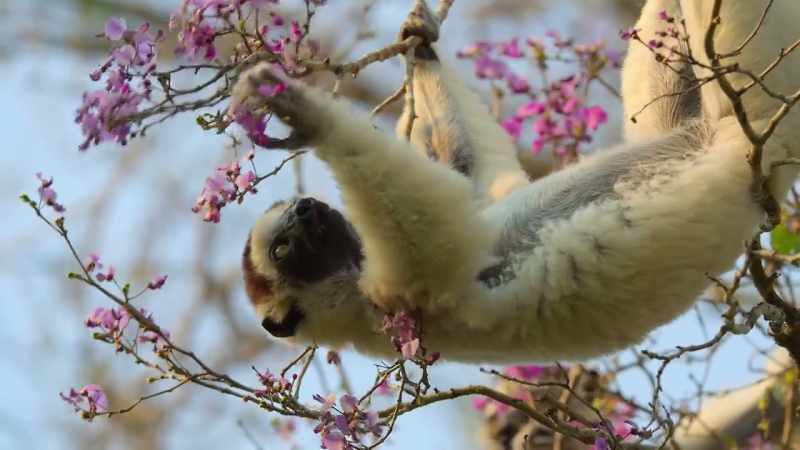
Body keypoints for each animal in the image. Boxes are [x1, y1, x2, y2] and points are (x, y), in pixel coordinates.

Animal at [237, 0, 800, 363]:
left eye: (298, 210)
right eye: (283, 249)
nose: (307, 208)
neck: (349, 297)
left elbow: (475, 180)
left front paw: (420, 45)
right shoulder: (396, 299)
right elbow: (441, 226)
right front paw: (310, 118)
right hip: (749, 124)